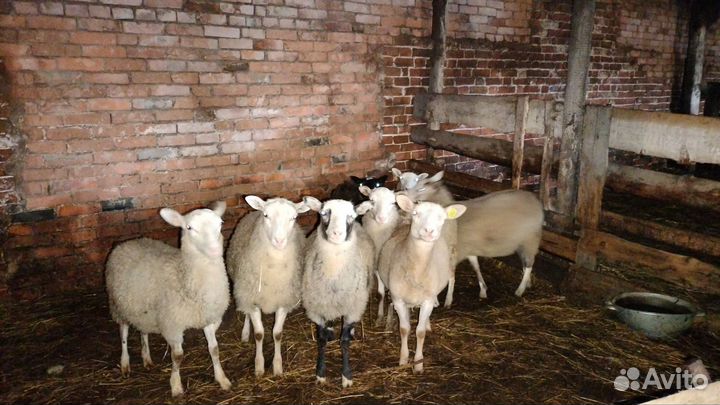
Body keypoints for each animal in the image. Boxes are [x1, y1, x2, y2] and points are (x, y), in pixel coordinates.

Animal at [105, 202, 231, 397]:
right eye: (189, 228)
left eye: (220, 223)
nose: (214, 250)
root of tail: (128, 242)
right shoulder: (173, 325)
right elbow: (177, 356)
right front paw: (176, 386)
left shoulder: (210, 318)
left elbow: (214, 349)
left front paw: (222, 379)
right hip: (118, 305)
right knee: (123, 333)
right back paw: (125, 364)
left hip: (145, 311)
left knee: (143, 332)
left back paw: (147, 358)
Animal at [226, 196, 309, 377]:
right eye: (266, 215)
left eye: (294, 217)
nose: (279, 241)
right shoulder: (252, 299)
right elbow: (259, 334)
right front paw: (259, 366)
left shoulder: (283, 300)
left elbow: (277, 334)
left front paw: (277, 367)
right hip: (244, 290)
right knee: (246, 312)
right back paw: (245, 333)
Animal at [301, 197, 375, 388]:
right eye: (324, 213)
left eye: (351, 216)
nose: (336, 234)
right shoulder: (317, 308)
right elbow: (320, 340)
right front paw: (320, 373)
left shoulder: (352, 308)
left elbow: (344, 342)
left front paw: (346, 376)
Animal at [377, 195, 466, 373]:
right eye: (416, 213)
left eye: (442, 217)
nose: (429, 231)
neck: (417, 270)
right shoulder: (399, 299)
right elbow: (404, 329)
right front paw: (403, 359)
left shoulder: (427, 301)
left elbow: (420, 332)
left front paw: (418, 364)